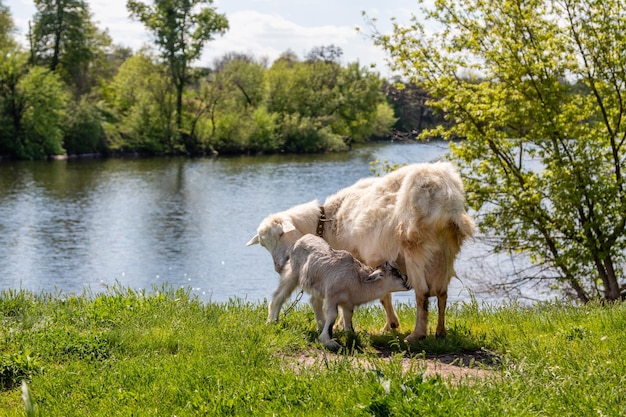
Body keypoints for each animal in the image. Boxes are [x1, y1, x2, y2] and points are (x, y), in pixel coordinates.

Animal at [246, 161, 470, 342]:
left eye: (280, 235)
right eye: (264, 244)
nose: (279, 267)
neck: (327, 222)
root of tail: (445, 193)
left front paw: (341, 325)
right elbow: (384, 293)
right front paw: (390, 326)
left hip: (414, 248)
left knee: (422, 293)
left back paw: (417, 335)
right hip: (445, 251)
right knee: (442, 293)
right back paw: (440, 332)